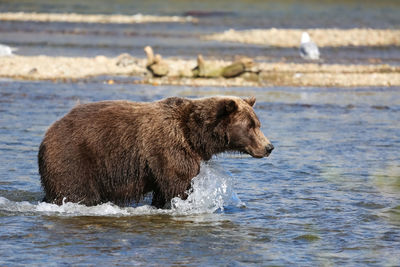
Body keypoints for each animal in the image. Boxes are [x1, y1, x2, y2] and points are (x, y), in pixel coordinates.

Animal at [38, 96, 272, 209]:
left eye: (258, 124)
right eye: (251, 126)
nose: (269, 147)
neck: (194, 135)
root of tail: (49, 132)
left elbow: (164, 190)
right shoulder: (169, 148)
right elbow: (179, 185)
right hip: (76, 156)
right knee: (76, 190)